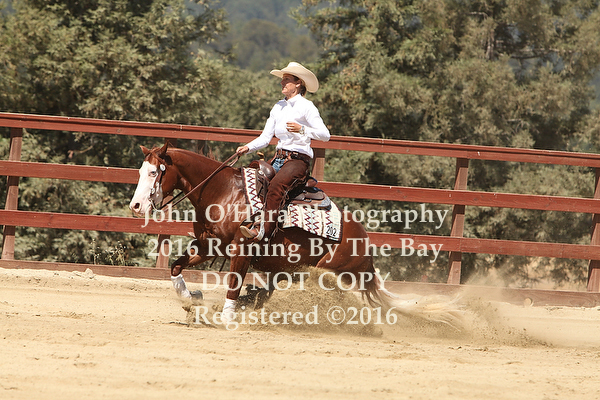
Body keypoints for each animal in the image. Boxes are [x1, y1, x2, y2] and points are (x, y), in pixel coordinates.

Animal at [129, 143, 463, 327]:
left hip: (328, 273)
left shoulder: (241, 250)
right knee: (269, 292)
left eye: (154, 172)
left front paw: (226, 317)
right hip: (290, 268)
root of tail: (365, 244)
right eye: (140, 171)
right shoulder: (209, 245)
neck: (222, 192)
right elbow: (176, 267)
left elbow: (233, 286)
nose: (135, 205)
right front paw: (192, 298)